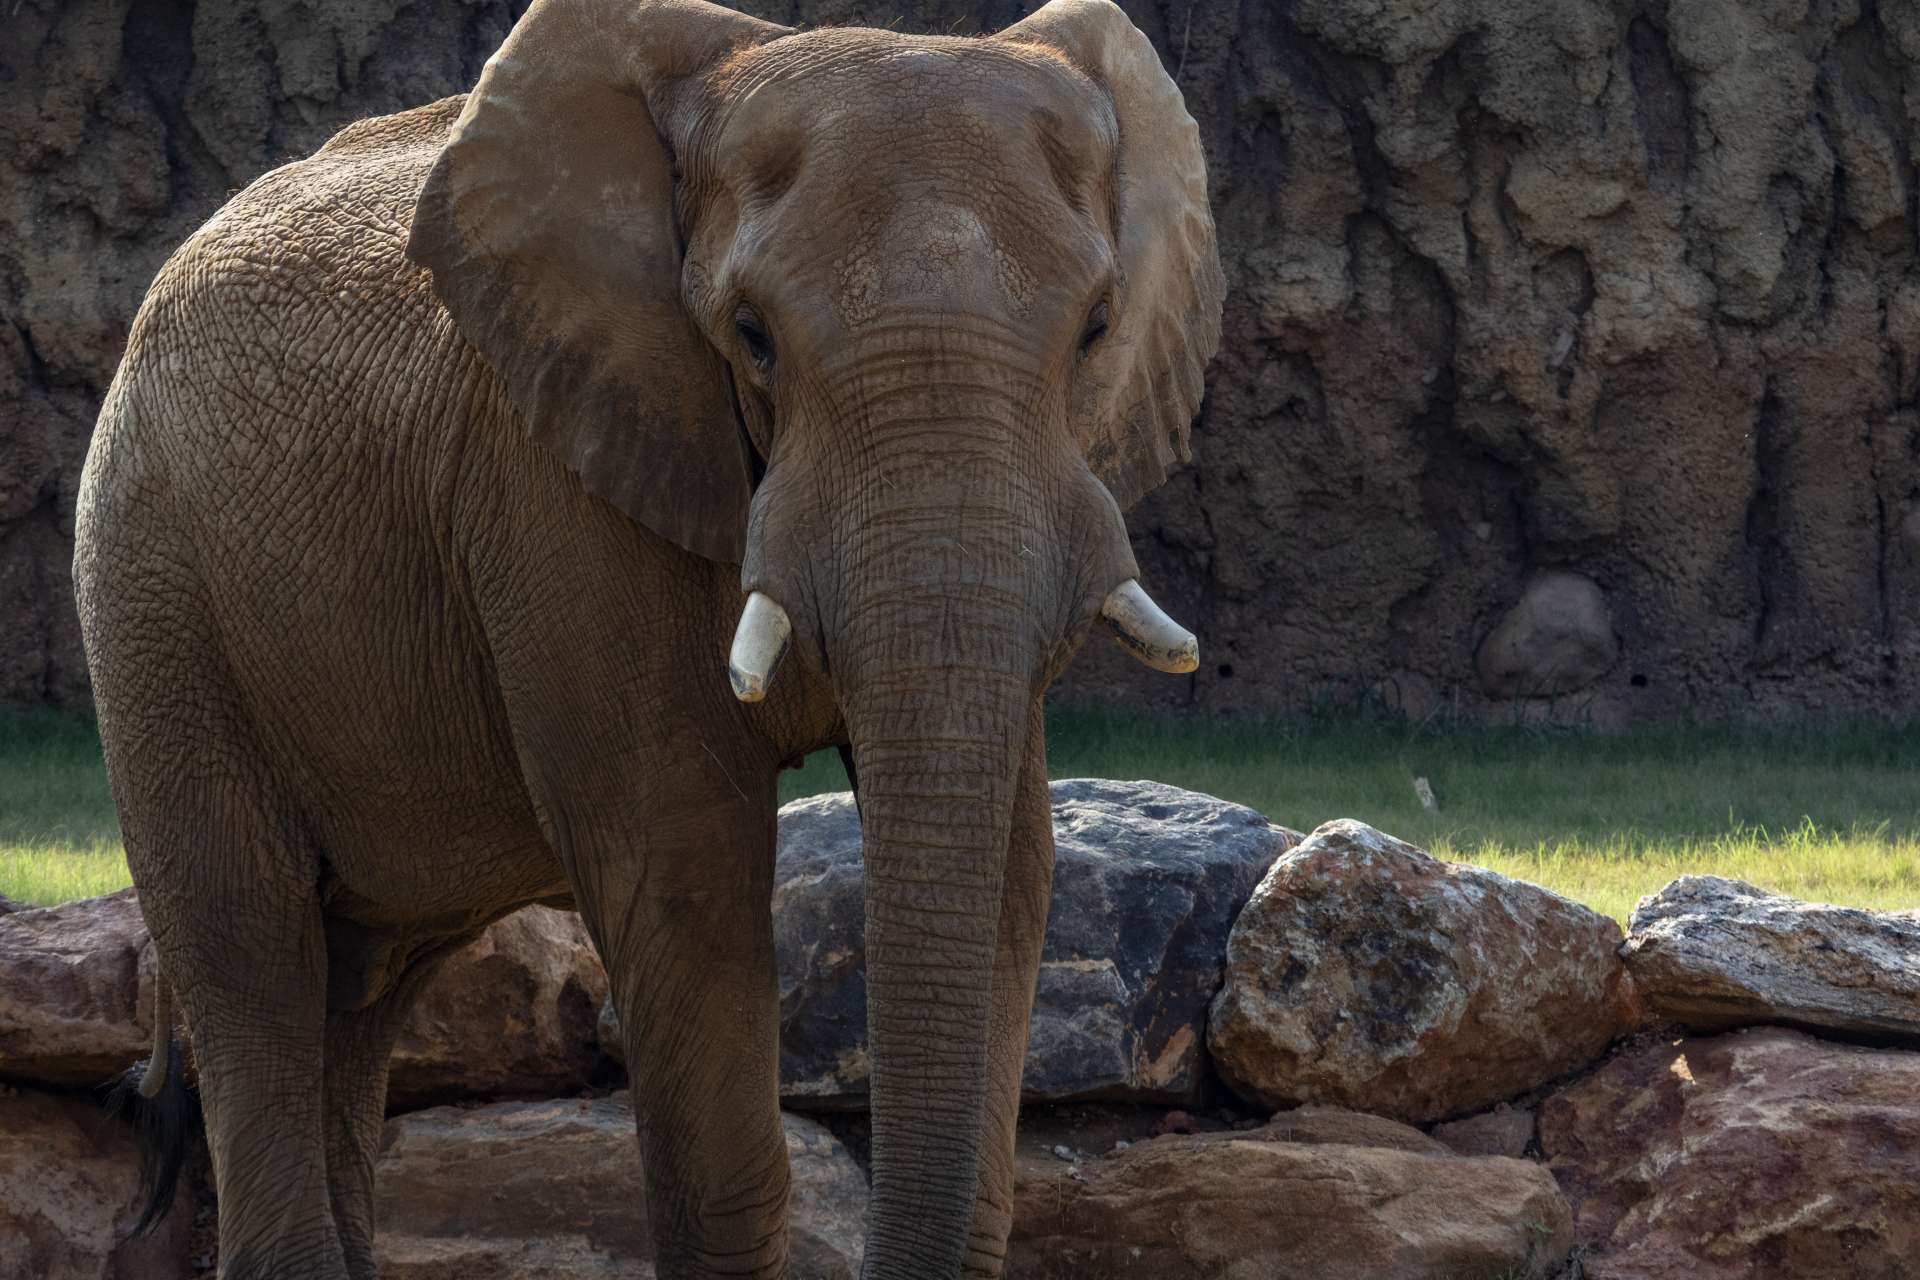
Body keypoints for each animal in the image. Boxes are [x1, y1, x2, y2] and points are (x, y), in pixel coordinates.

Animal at [74, 0, 1221, 1274]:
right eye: (751, 335)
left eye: (1097, 328)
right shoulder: (554, 478)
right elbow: (684, 859)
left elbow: (1018, 861)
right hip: (152, 590)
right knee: (253, 947)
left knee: (355, 987)